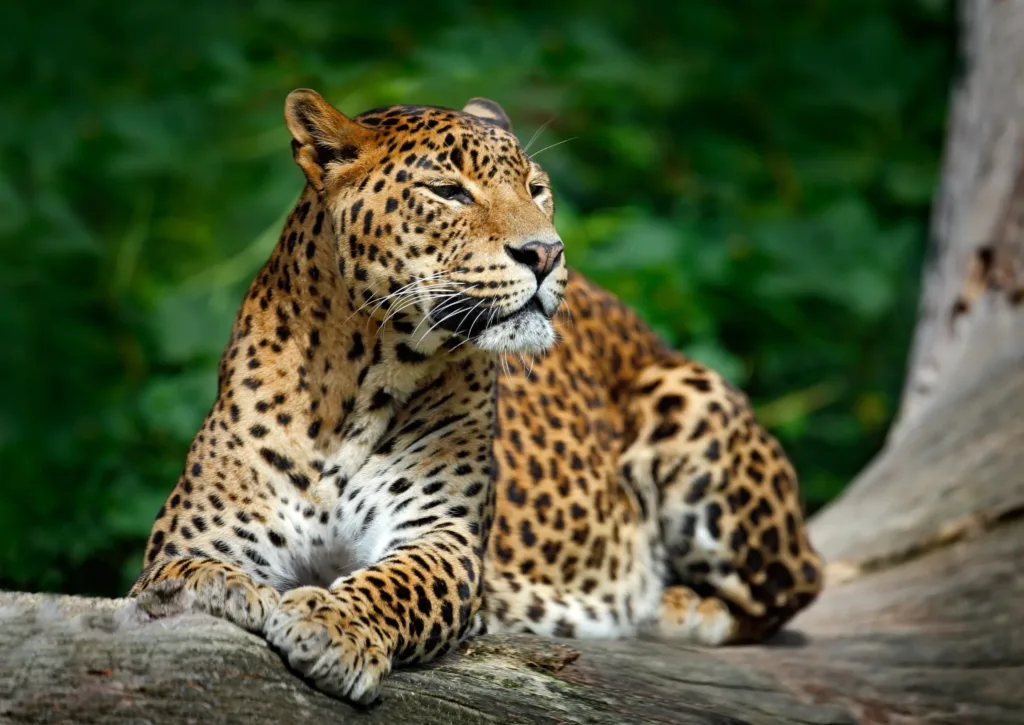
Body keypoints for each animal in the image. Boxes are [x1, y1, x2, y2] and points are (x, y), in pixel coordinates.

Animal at [130, 88, 824, 705]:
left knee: (794, 587)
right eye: (448, 191)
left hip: (689, 397)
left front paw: (331, 625)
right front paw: (225, 592)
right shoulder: (194, 537)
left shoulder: (444, 538)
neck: (358, 380)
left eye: (536, 189)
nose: (546, 252)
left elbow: (394, 584)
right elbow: (180, 575)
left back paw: (669, 604)